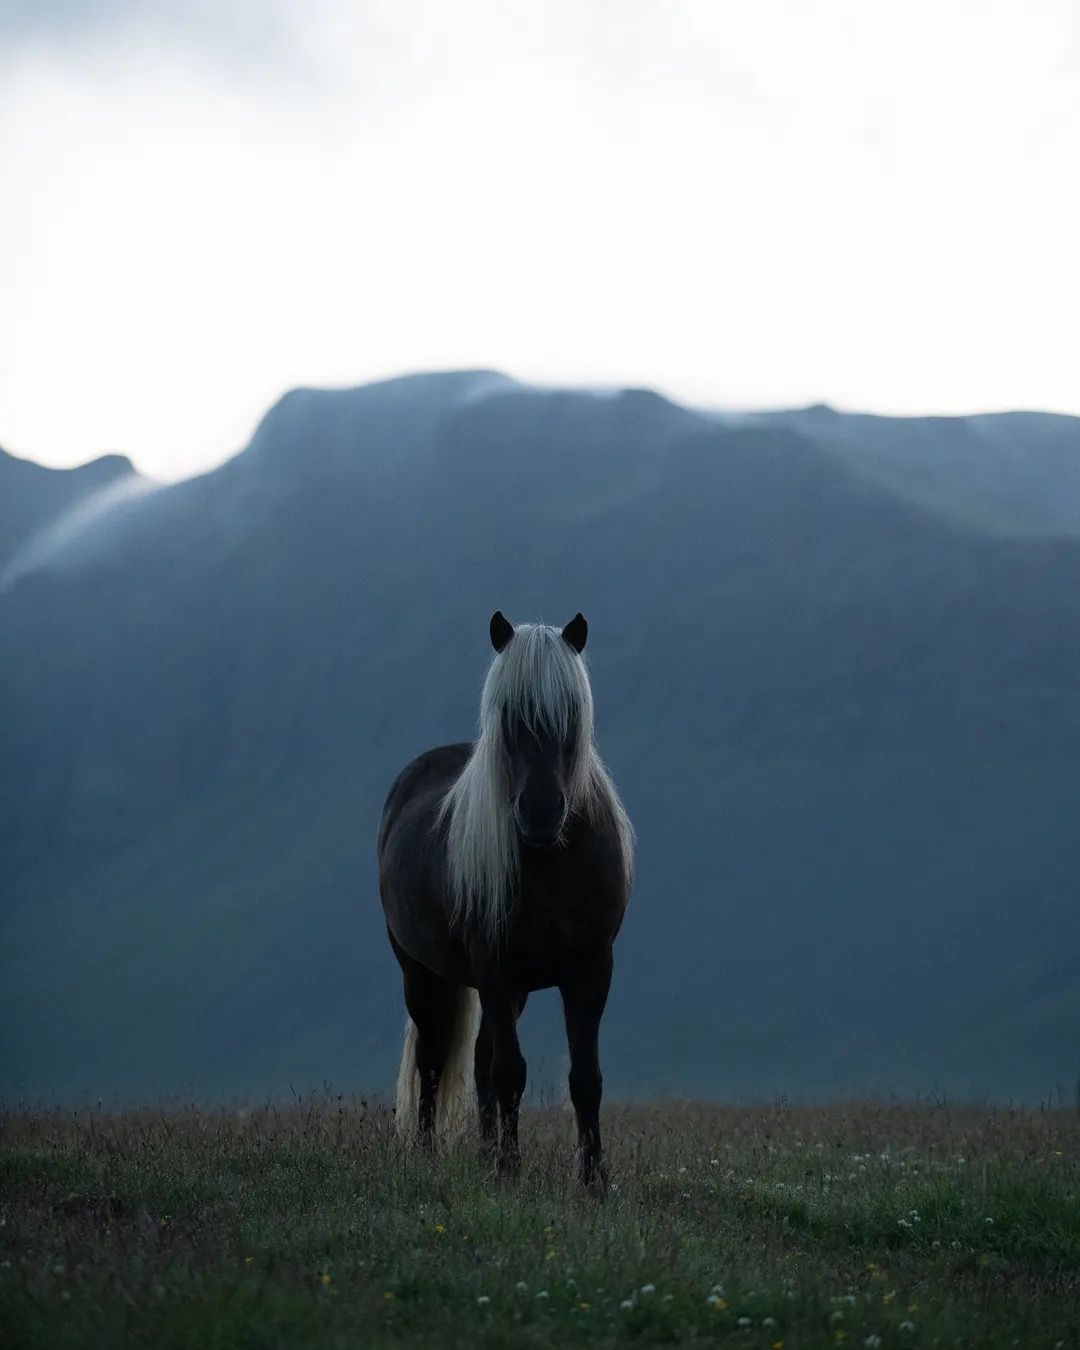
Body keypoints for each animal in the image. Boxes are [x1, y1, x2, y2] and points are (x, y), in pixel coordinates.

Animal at [377, 610, 634, 1188]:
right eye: (508, 716)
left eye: (571, 711)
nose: (539, 812)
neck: (552, 863)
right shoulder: (494, 969)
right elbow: (510, 1072)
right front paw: (510, 1172)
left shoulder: (592, 969)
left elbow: (585, 1077)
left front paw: (593, 1180)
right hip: (422, 973)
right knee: (434, 1058)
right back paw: (430, 1154)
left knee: (477, 1060)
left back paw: (484, 1151)